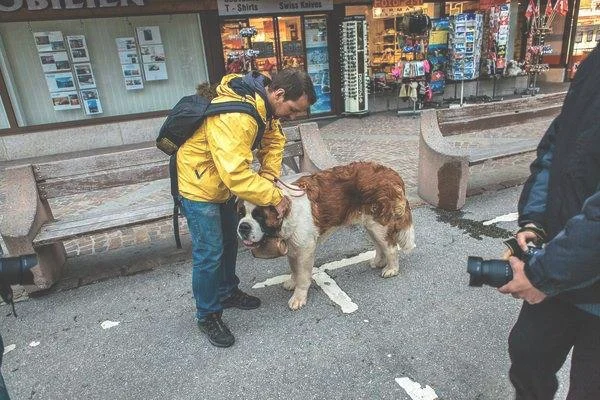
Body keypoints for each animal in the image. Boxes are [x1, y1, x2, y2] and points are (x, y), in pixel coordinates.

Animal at [237, 161, 414, 310]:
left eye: (259, 216)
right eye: (239, 213)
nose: (243, 227)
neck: (288, 211)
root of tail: (391, 173)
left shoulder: (305, 249)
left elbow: (303, 275)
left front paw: (298, 297)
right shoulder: (293, 246)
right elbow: (294, 268)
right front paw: (292, 282)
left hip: (379, 224)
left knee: (391, 247)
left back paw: (391, 269)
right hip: (370, 223)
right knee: (380, 245)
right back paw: (379, 262)